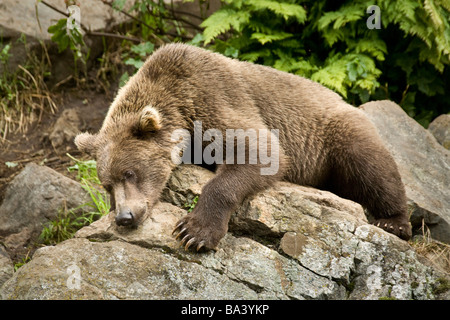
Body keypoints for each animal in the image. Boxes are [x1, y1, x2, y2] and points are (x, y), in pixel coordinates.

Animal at [75, 43, 414, 252]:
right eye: (106, 185)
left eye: (130, 172)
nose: (124, 217)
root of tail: (348, 103)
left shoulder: (215, 98)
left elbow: (258, 151)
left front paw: (194, 232)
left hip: (335, 133)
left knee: (371, 166)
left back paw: (393, 221)